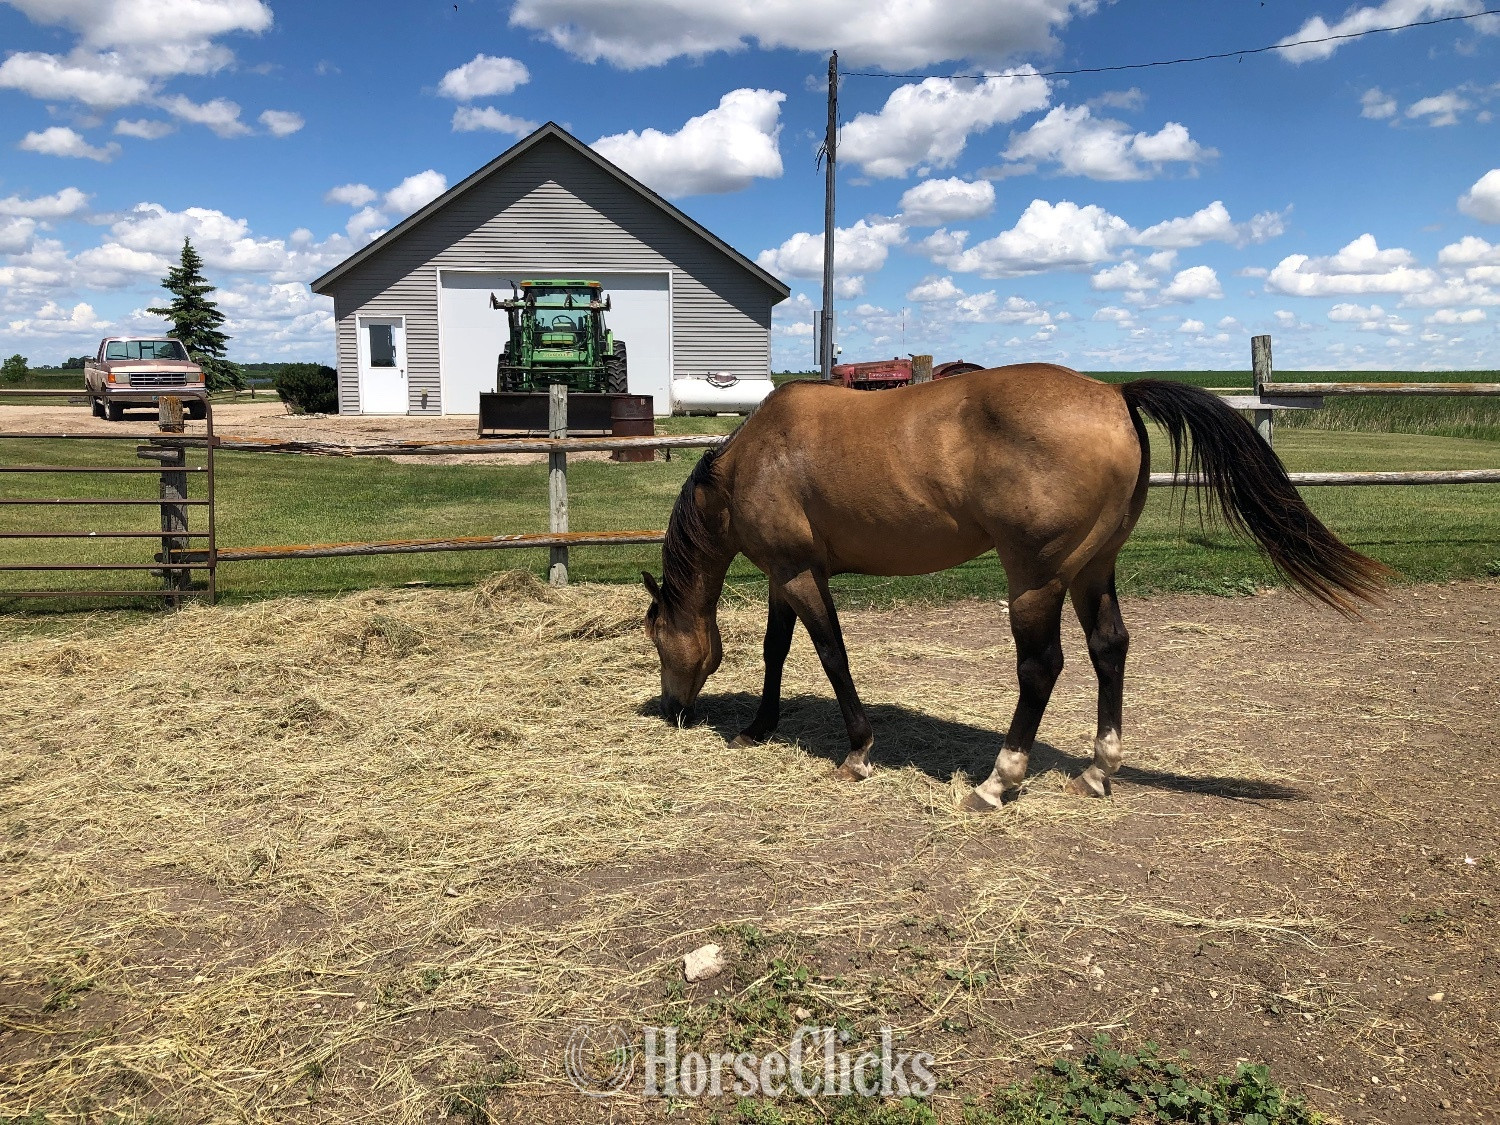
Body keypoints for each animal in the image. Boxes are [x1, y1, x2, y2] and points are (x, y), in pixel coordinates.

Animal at [641, 364, 1388, 811]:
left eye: (655, 637)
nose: (673, 709)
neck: (753, 459)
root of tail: (1114, 394)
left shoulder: (798, 574)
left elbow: (832, 656)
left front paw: (856, 751)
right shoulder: (785, 574)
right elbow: (776, 651)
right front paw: (759, 727)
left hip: (1034, 578)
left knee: (1042, 667)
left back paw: (999, 779)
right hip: (1092, 570)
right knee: (1109, 647)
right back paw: (1099, 768)